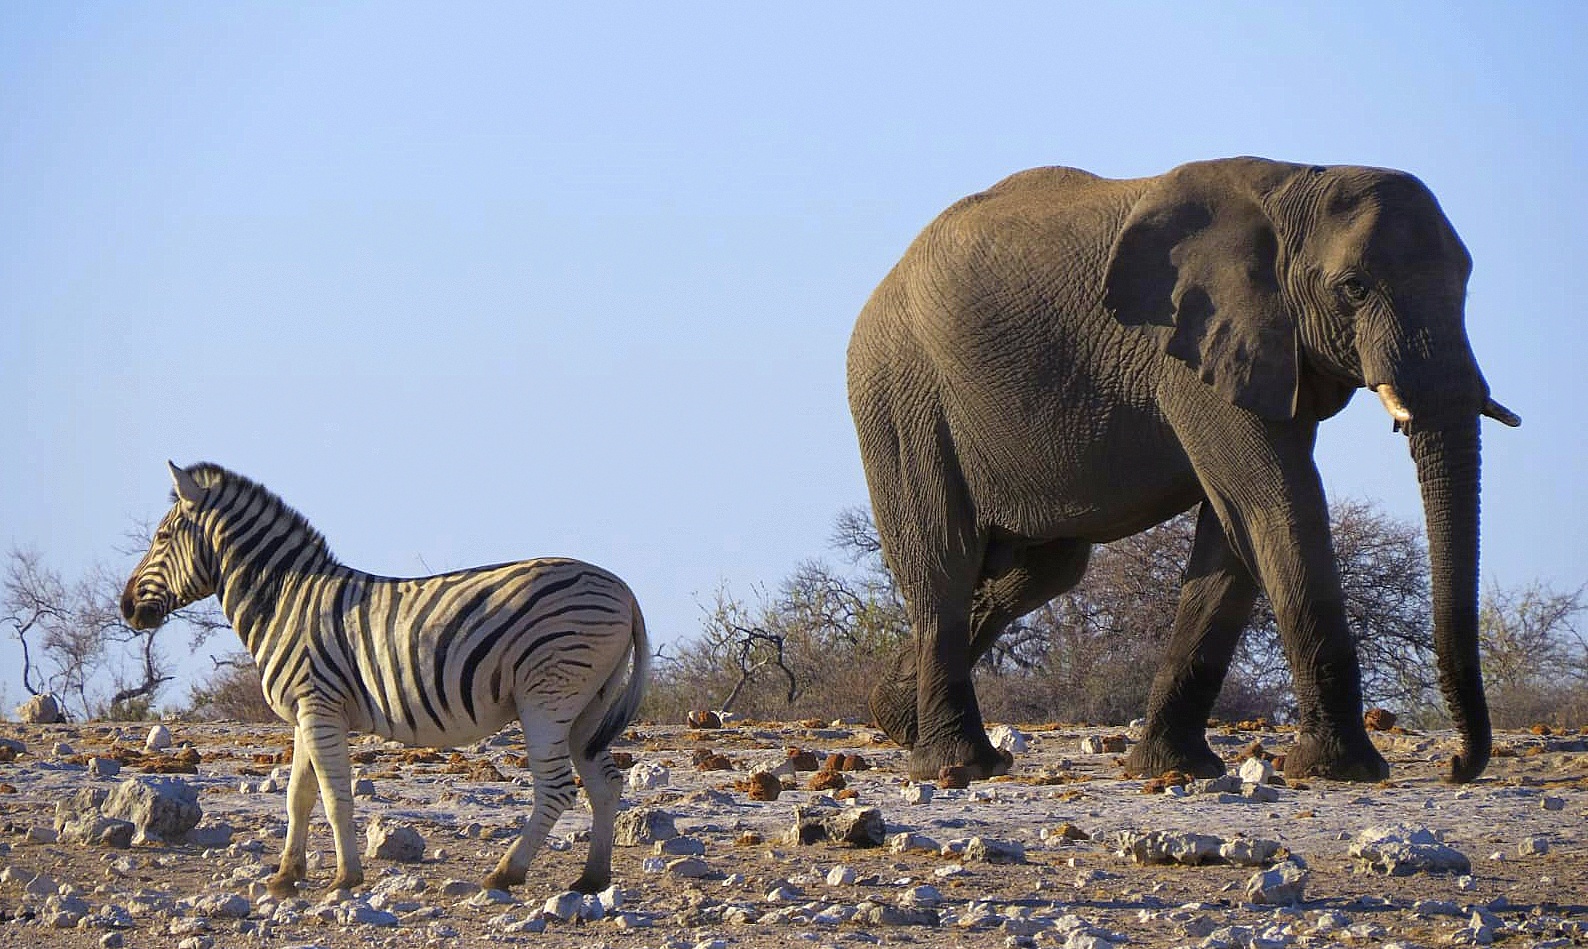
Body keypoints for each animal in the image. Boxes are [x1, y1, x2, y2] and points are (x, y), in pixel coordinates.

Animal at [115, 463, 651, 901]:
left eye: (161, 537)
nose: (125, 607)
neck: (285, 600)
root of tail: (624, 589)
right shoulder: (305, 714)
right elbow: (298, 798)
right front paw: (285, 877)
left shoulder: (320, 707)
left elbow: (334, 797)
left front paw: (344, 878)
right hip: (588, 707)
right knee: (605, 783)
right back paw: (592, 879)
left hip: (548, 696)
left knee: (557, 788)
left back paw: (505, 874)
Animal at [851, 157, 1518, 787]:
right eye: (1353, 288)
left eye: (1465, 282)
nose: (1455, 766)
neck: (1296, 185)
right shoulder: (1190, 351)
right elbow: (1277, 503)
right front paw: (1341, 769)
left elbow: (1234, 532)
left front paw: (1175, 767)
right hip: (903, 396)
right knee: (944, 561)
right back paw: (958, 764)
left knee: (1040, 572)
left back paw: (897, 719)